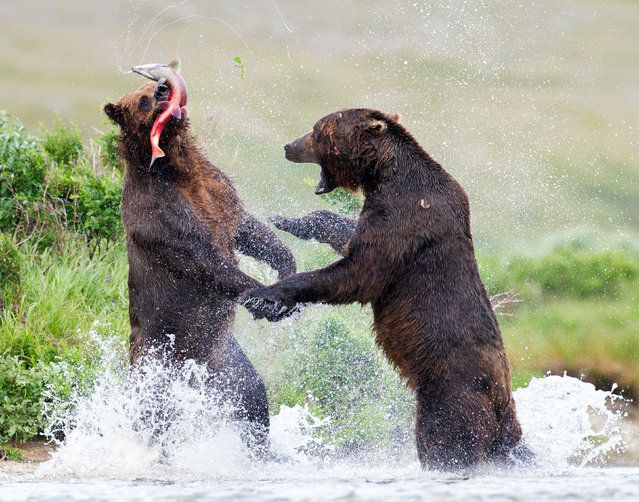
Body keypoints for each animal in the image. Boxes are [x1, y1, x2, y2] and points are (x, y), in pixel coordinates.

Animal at [104, 71, 296, 458]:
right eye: (143, 99)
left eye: (154, 84)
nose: (164, 88)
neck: (173, 169)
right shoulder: (163, 218)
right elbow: (208, 262)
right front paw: (268, 298)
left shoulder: (215, 188)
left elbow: (248, 228)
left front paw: (286, 267)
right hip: (158, 358)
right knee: (154, 411)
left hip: (224, 360)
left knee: (252, 396)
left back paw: (265, 452)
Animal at [245, 109, 524, 470]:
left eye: (317, 131)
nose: (288, 146)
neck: (383, 176)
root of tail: (500, 402)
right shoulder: (380, 213)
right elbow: (348, 235)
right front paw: (292, 221)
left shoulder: (405, 219)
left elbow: (357, 274)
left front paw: (266, 297)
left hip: (451, 396)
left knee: (443, 442)